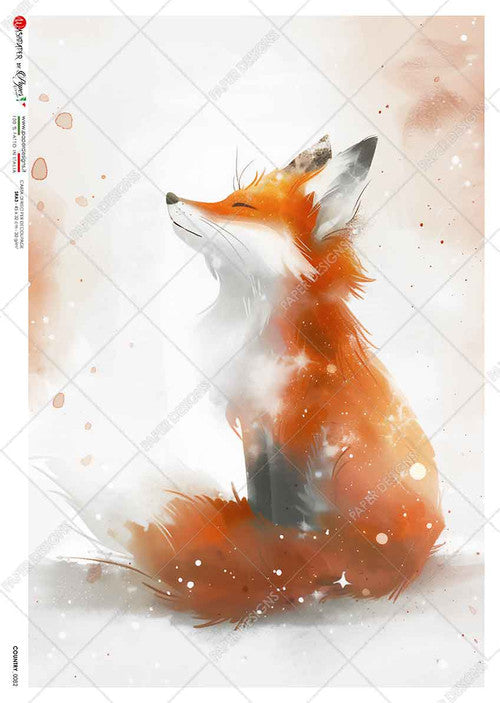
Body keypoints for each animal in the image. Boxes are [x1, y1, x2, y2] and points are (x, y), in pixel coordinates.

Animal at [124, 134, 444, 626]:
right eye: (229, 194)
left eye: (241, 205)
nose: (171, 196)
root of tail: (420, 555)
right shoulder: (257, 429)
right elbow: (262, 502)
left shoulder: (298, 429)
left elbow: (286, 522)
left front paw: (278, 571)